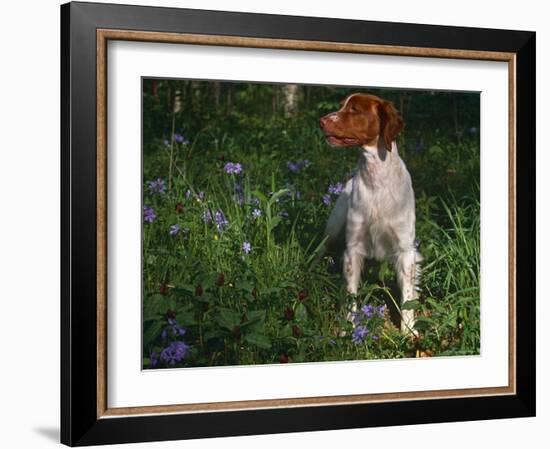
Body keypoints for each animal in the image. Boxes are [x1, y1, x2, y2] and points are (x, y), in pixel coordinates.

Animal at [320, 93, 422, 334]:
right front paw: (349, 329)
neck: (377, 181)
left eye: (354, 109)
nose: (321, 121)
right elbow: (351, 294)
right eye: (341, 106)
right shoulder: (353, 248)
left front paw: (408, 332)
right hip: (333, 229)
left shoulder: (405, 250)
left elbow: (407, 297)